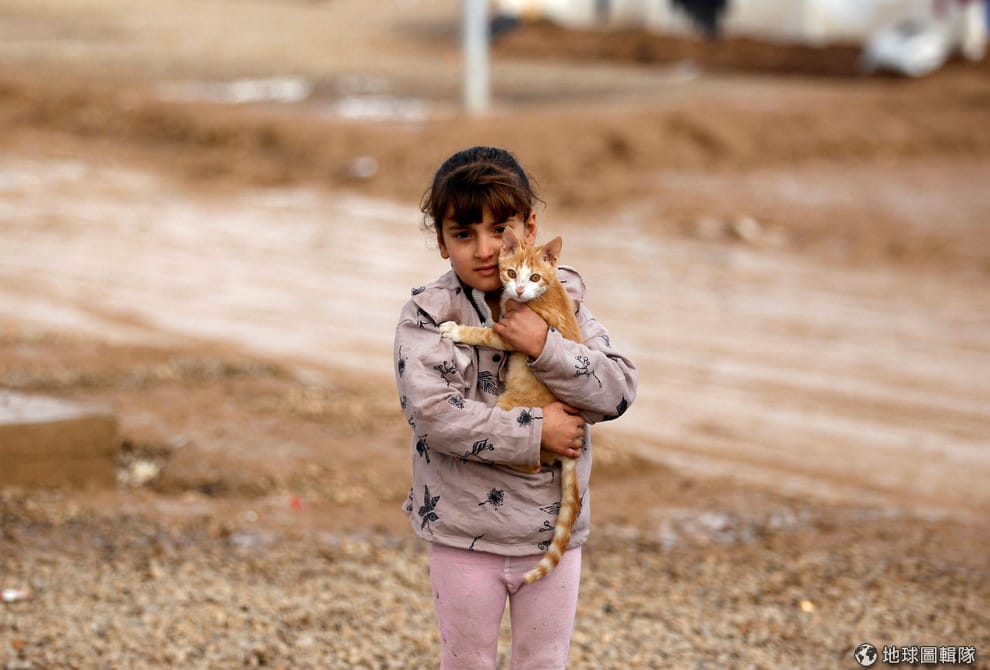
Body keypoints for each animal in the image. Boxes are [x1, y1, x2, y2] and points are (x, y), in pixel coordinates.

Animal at [439, 228, 582, 584]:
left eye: (534, 277)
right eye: (511, 273)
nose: (518, 289)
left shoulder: (509, 333)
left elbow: (486, 333)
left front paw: (458, 329)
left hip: (511, 408)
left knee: (533, 461)